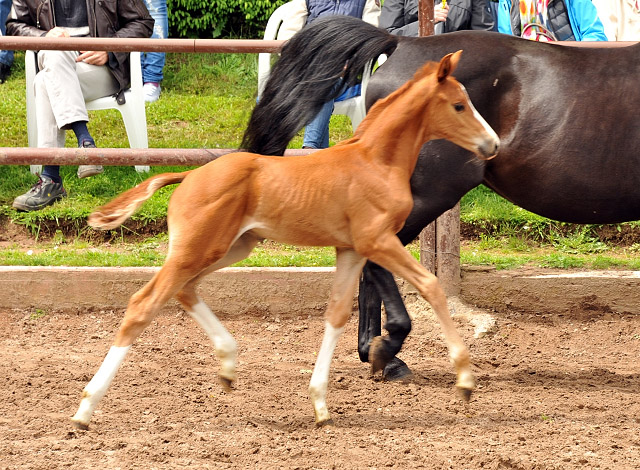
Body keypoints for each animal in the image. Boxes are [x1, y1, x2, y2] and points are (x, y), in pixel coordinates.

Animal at [71, 52, 500, 430]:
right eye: (459, 105)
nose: (493, 144)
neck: (376, 161)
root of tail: (189, 175)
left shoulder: (350, 249)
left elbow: (337, 314)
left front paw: (321, 405)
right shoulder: (377, 241)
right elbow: (431, 285)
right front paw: (465, 380)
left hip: (231, 247)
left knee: (185, 290)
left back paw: (228, 365)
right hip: (198, 249)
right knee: (144, 304)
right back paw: (85, 410)